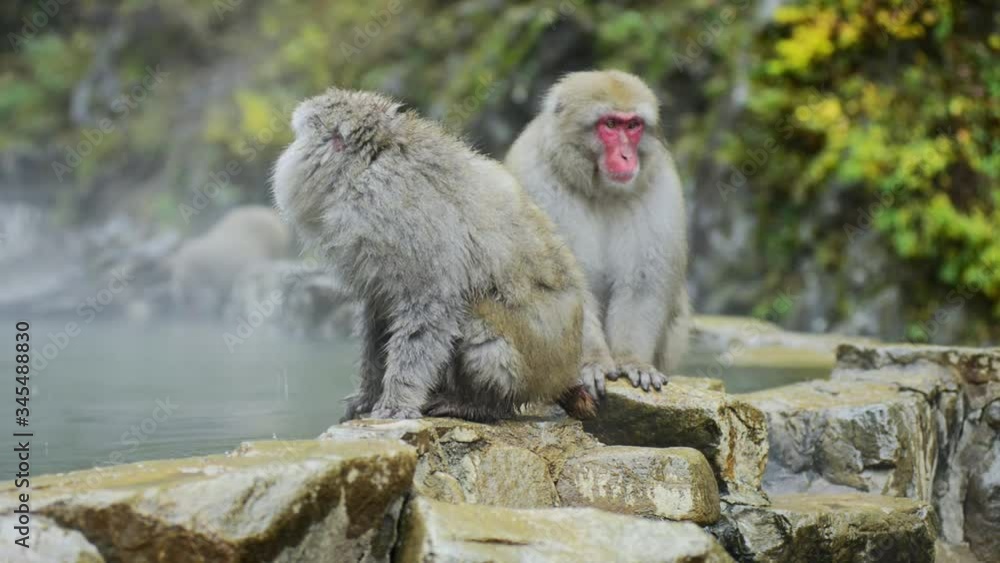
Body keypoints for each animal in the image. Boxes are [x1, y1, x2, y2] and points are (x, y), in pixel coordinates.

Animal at [271, 87, 596, 422]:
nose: (290, 148)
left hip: (531, 366)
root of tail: (562, 374)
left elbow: (429, 302)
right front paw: (368, 396)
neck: (365, 168)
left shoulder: (392, 216)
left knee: (476, 315)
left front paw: (396, 402)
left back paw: (480, 404)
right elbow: (379, 307)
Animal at [505, 70, 691, 399]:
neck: (600, 190)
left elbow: (643, 283)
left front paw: (633, 361)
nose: (628, 157)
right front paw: (592, 362)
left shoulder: (660, 186)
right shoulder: (535, 181)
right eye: (610, 125)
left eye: (633, 125)